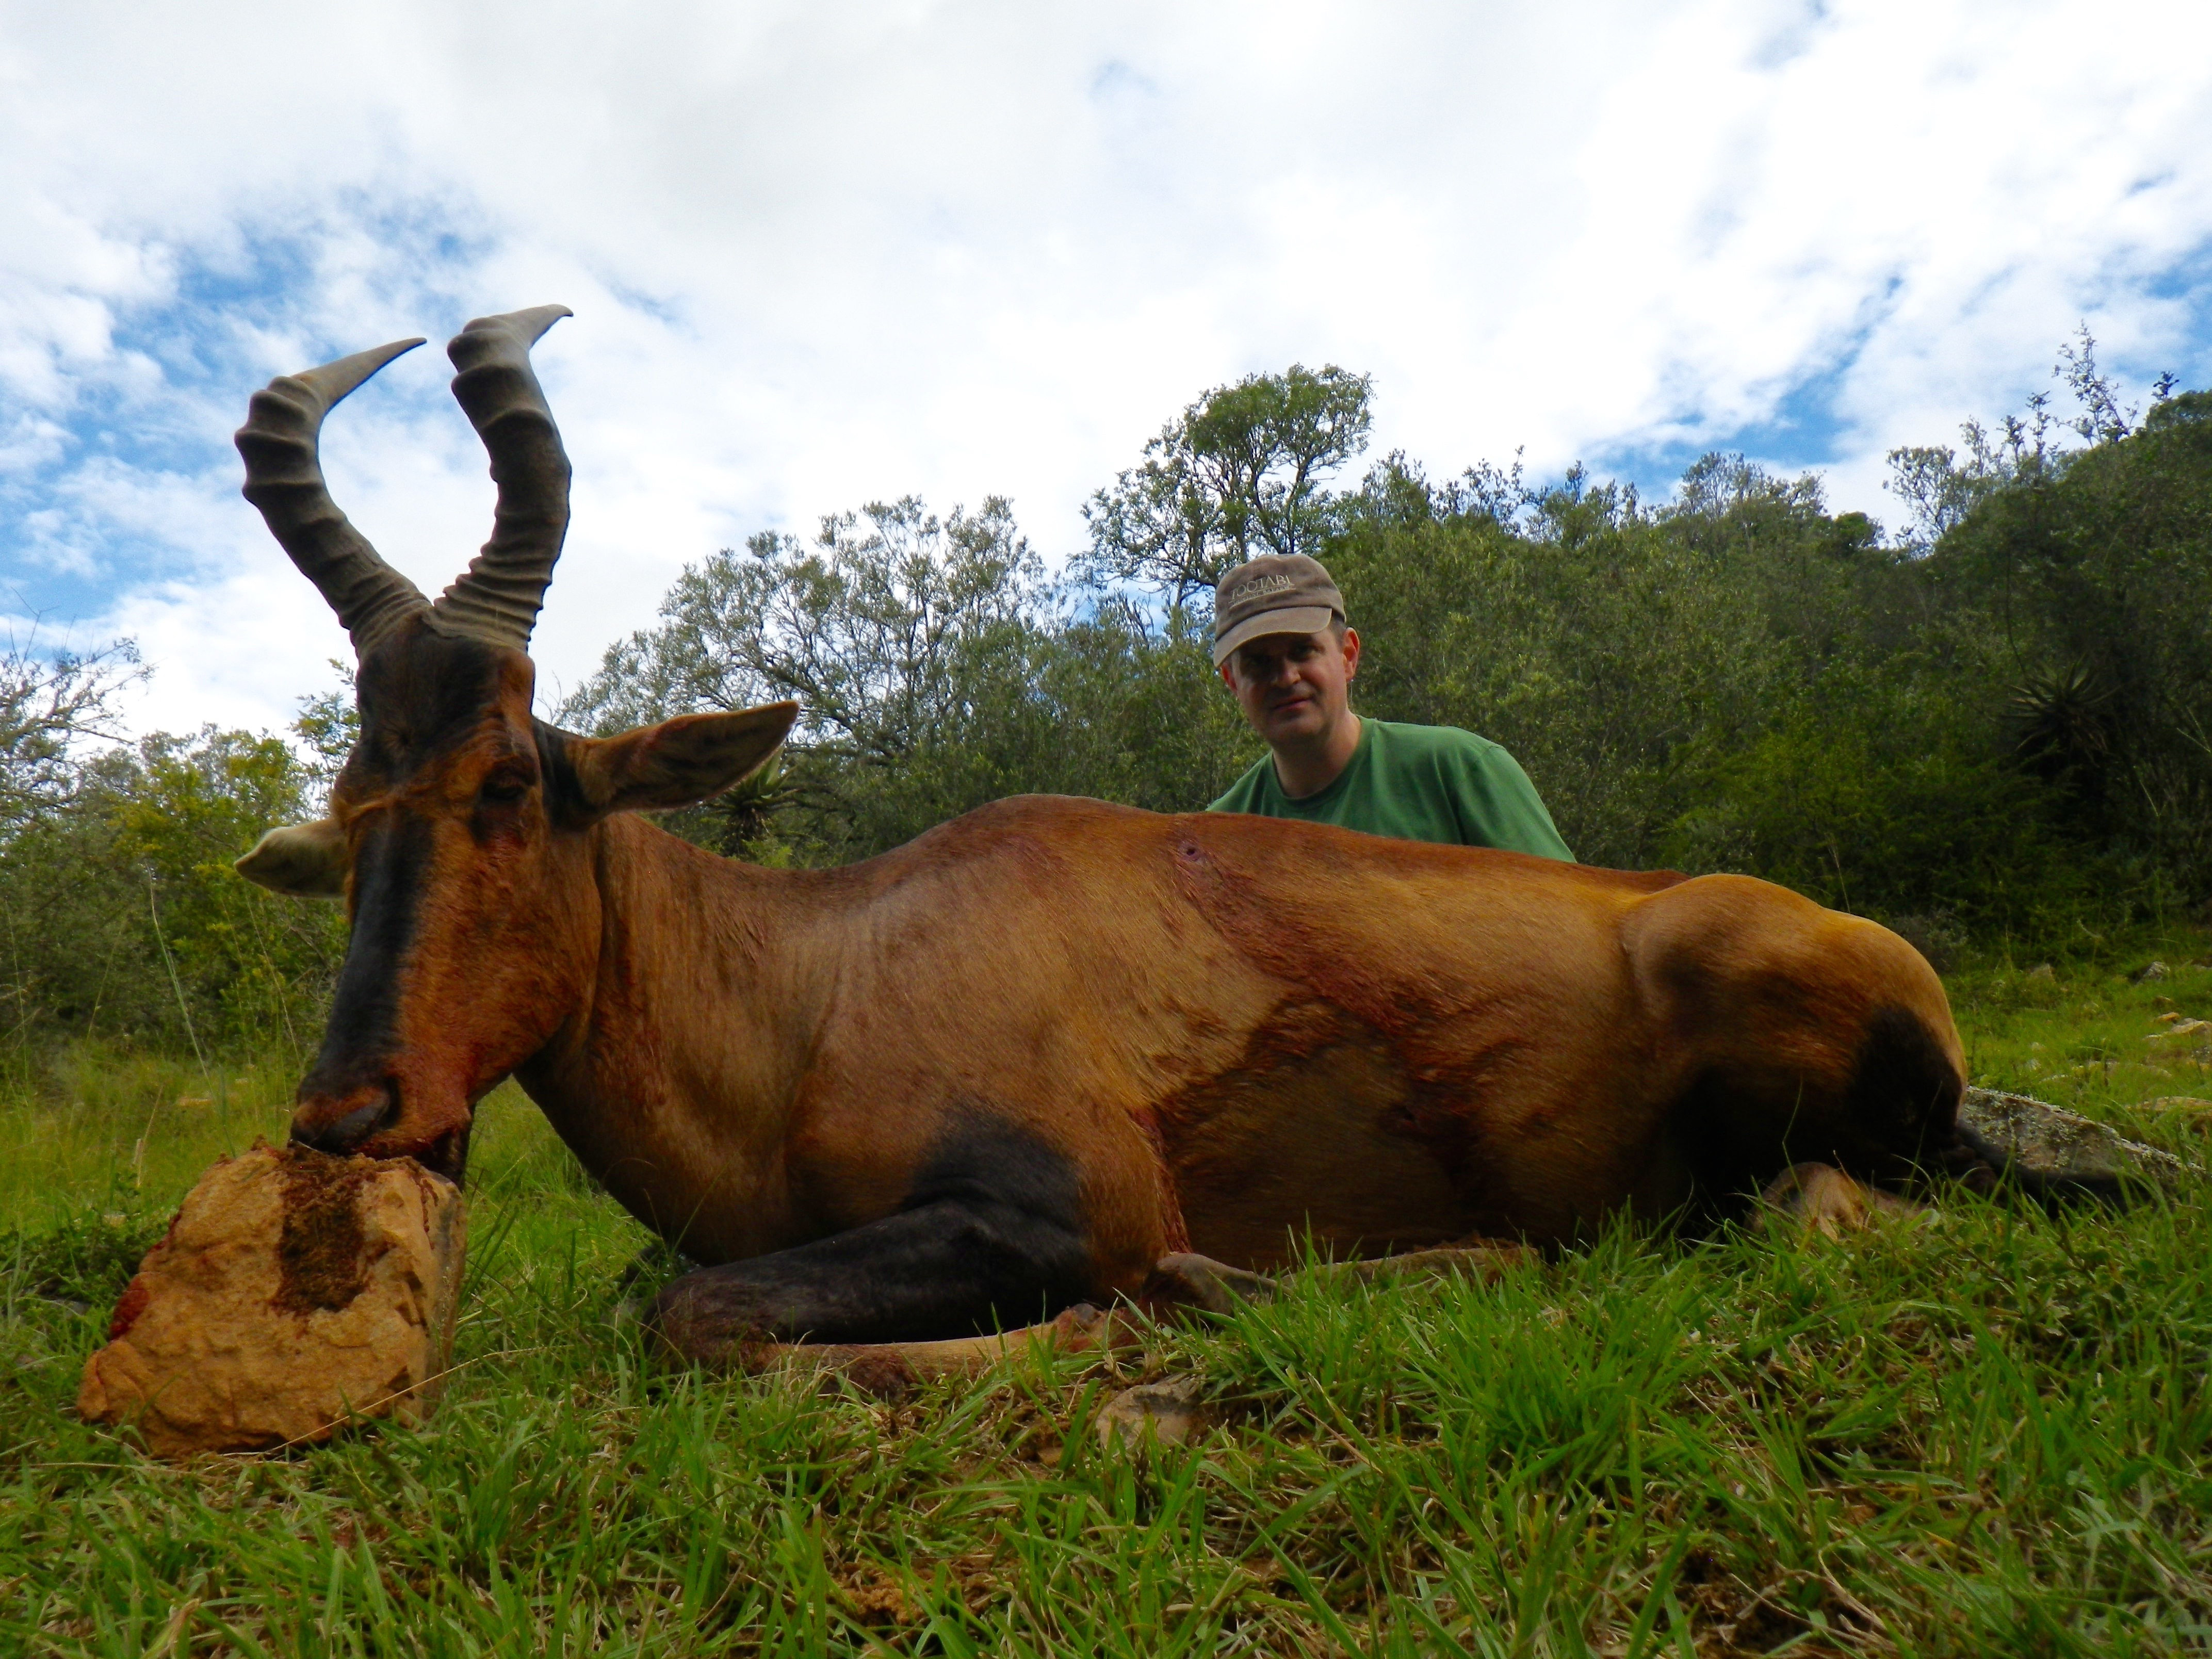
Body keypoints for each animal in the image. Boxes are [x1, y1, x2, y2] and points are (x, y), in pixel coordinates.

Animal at [237, 305, 1991, 1371]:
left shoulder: (1063, 1207)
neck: (827, 971)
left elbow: (690, 1311)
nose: (346, 1112)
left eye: (507, 784)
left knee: (1803, 1215)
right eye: (349, 814)